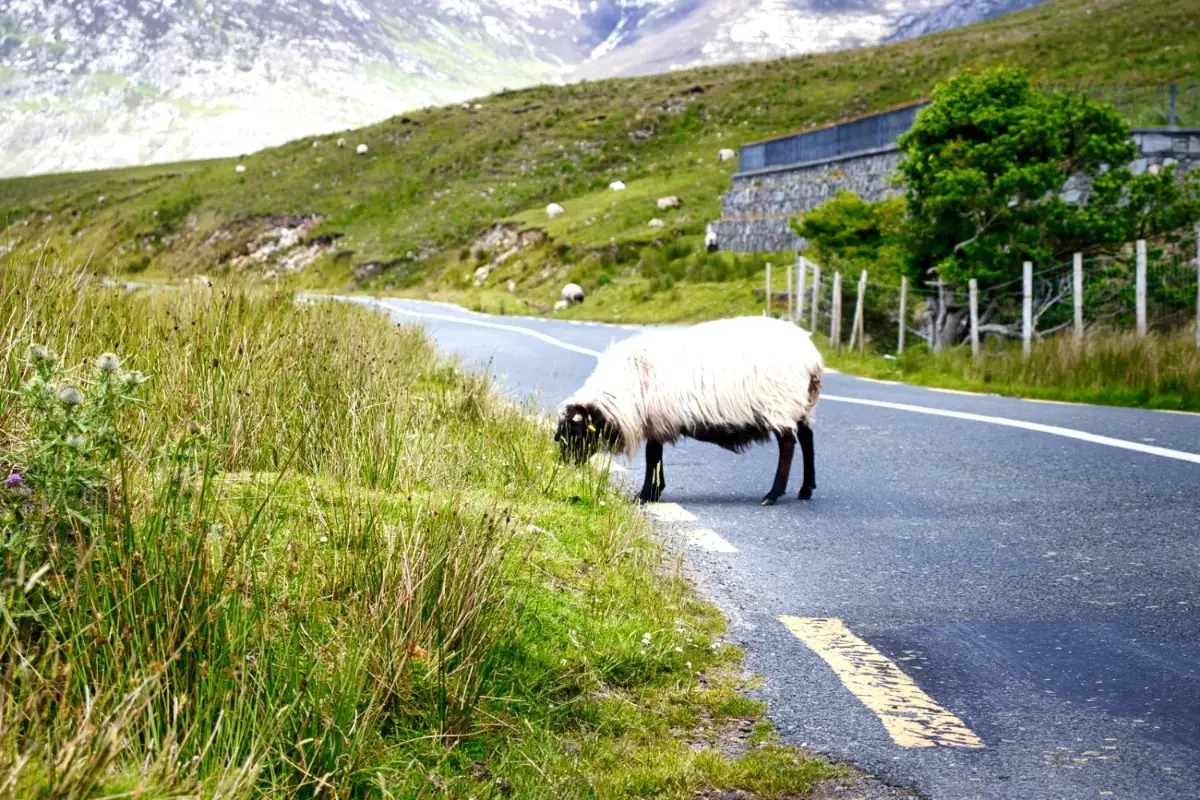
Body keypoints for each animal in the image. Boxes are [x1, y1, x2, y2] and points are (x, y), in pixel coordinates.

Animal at [554, 316, 823, 505]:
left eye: (575, 432)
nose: (563, 467)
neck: (623, 388)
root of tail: (812, 357)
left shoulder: (656, 419)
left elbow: (652, 456)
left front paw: (645, 495)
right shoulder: (657, 420)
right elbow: (656, 456)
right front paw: (654, 491)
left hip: (780, 402)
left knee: (788, 444)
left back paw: (773, 494)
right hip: (800, 403)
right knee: (807, 438)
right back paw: (806, 489)